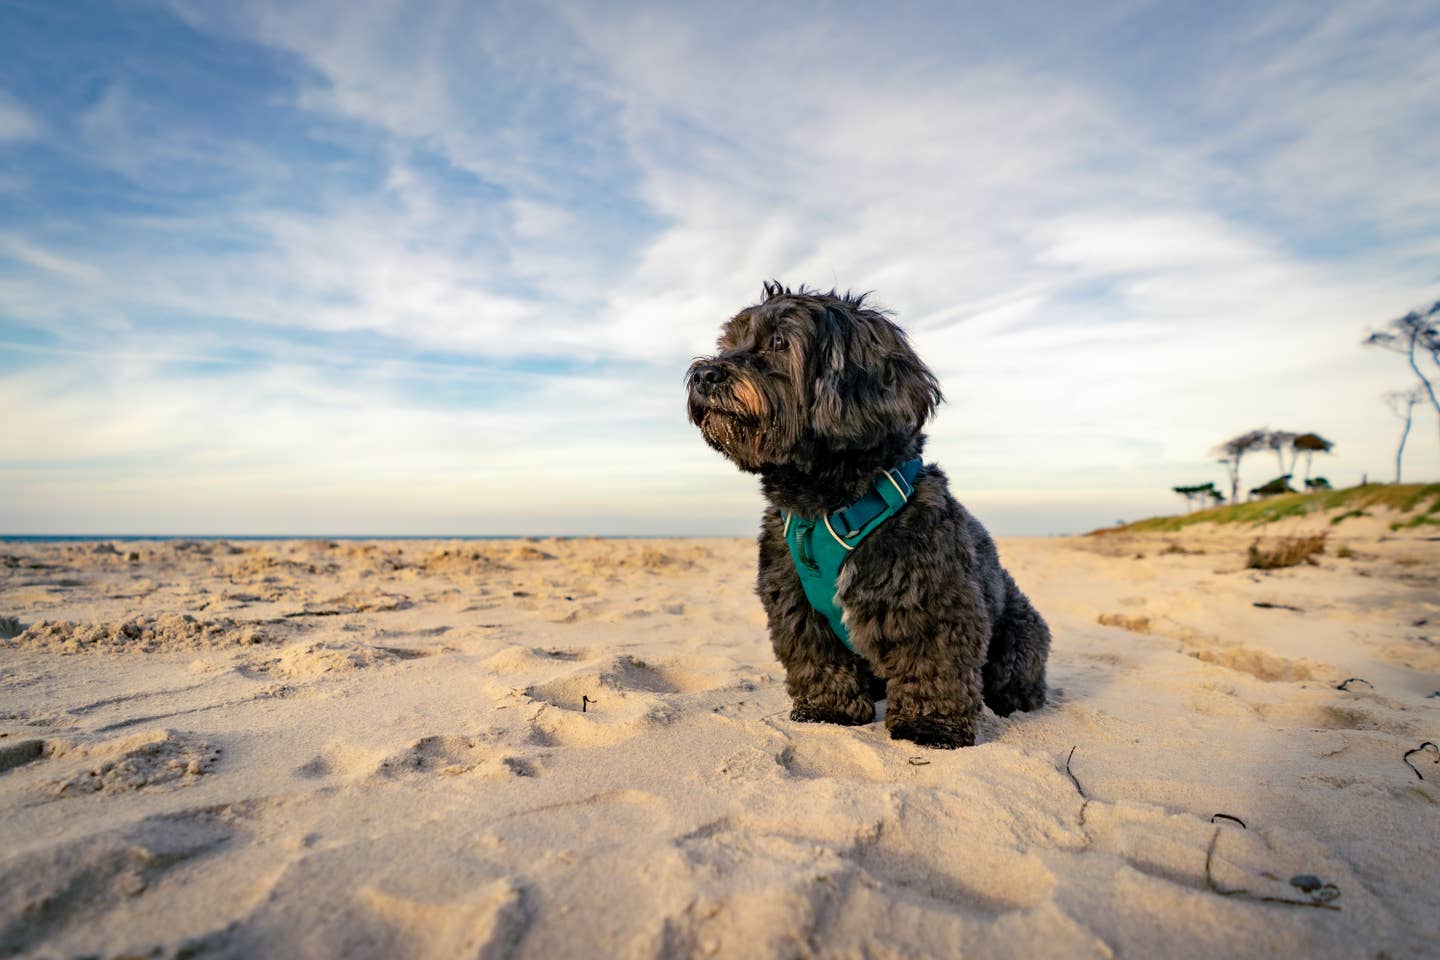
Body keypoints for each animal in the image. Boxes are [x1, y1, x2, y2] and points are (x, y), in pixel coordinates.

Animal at [685, 283, 1048, 748]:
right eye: (728, 344)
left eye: (779, 342)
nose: (704, 375)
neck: (824, 504)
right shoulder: (794, 602)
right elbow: (816, 657)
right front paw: (828, 710)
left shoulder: (933, 599)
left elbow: (933, 663)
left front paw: (931, 726)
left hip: (1021, 633)